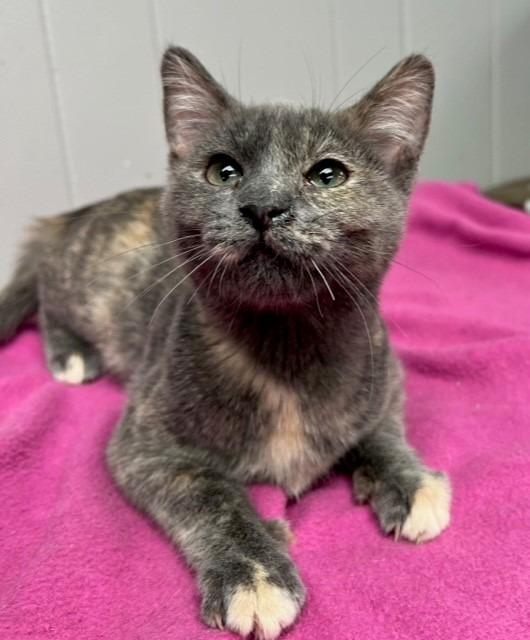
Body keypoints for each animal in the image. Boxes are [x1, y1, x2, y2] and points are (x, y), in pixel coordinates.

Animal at [1, 48, 450, 640]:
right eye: (223, 170)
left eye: (328, 174)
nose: (264, 205)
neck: (285, 349)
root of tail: (70, 218)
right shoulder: (144, 444)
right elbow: (210, 494)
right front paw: (253, 574)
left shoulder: (385, 372)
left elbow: (381, 427)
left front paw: (409, 479)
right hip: (83, 283)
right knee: (43, 294)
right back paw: (72, 353)